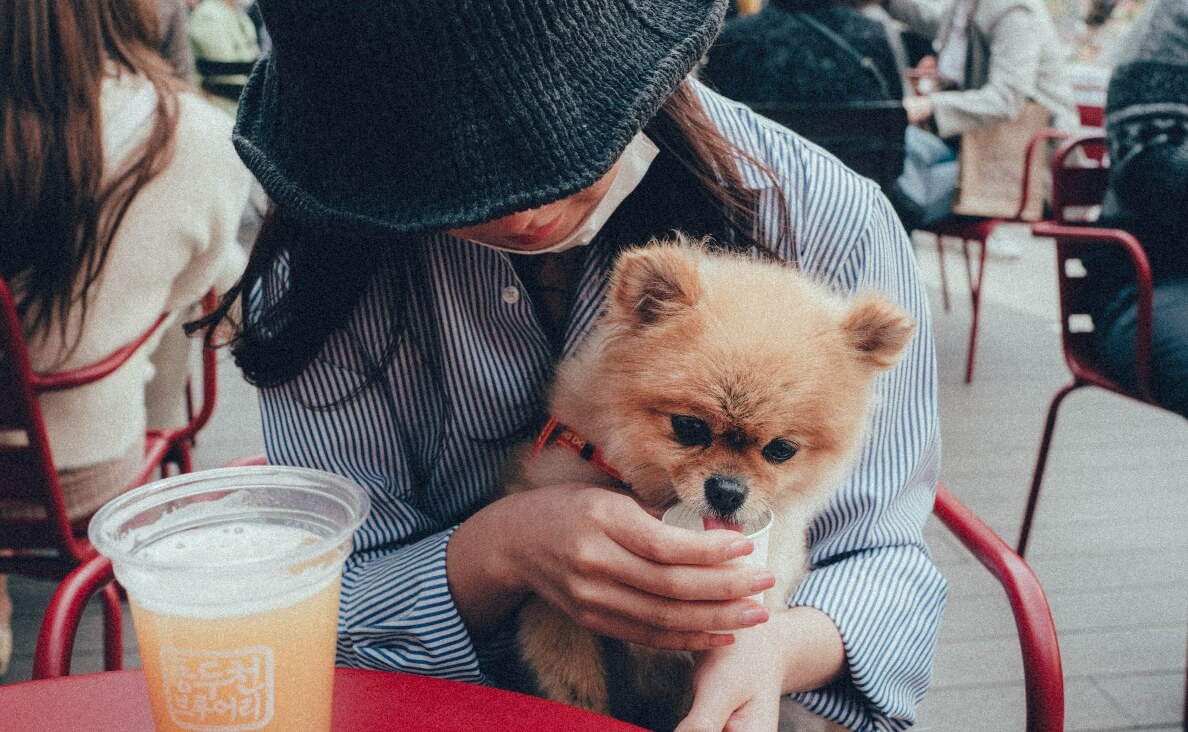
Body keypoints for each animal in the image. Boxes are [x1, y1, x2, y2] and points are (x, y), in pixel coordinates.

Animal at [506, 237, 912, 727]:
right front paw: (580, 711)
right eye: (688, 427)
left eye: (781, 449)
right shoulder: (551, 601)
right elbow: (572, 679)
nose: (728, 491)